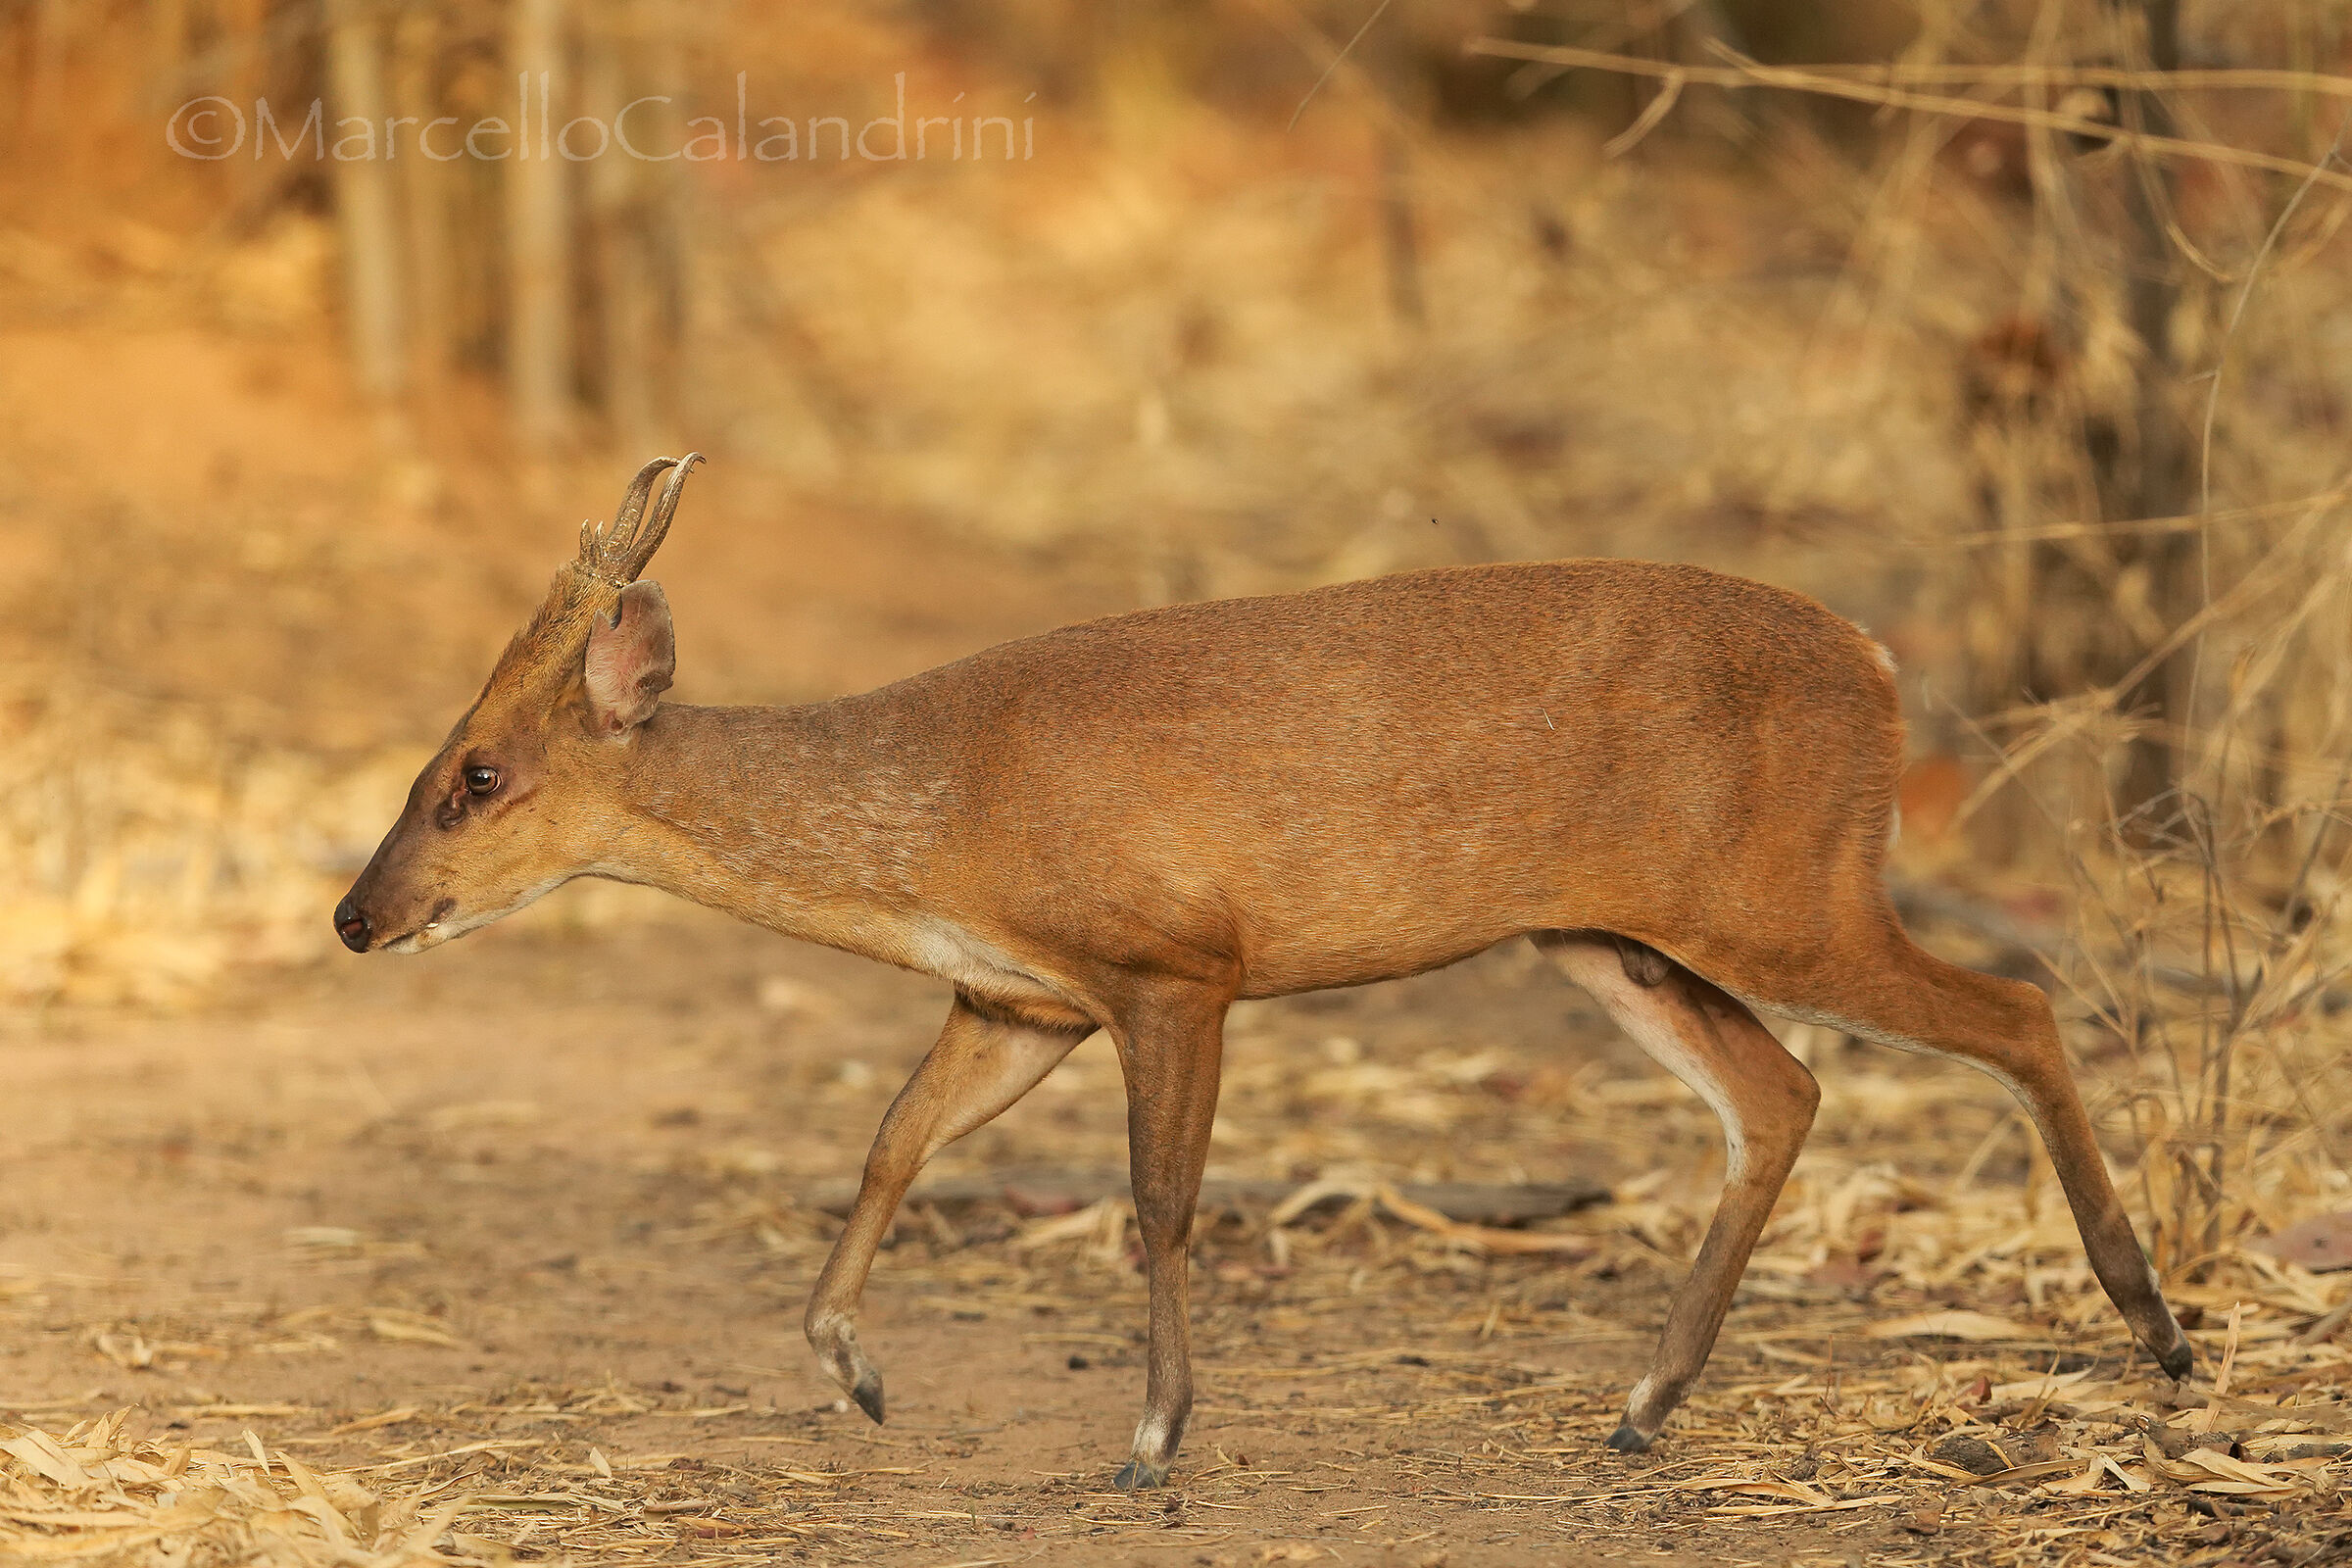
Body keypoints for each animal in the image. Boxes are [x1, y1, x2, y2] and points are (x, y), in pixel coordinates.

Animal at [334, 454, 2193, 1489]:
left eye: (476, 774)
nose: (357, 917)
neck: (935, 817)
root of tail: (1879, 668)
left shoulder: (1177, 963)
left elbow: (1159, 1204)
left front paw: (1150, 1445)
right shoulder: (1020, 996)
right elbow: (888, 1146)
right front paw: (852, 1371)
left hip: (1786, 887)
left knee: (2016, 1009)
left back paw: (2155, 1324)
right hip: (1611, 930)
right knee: (1782, 1092)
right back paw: (1643, 1408)